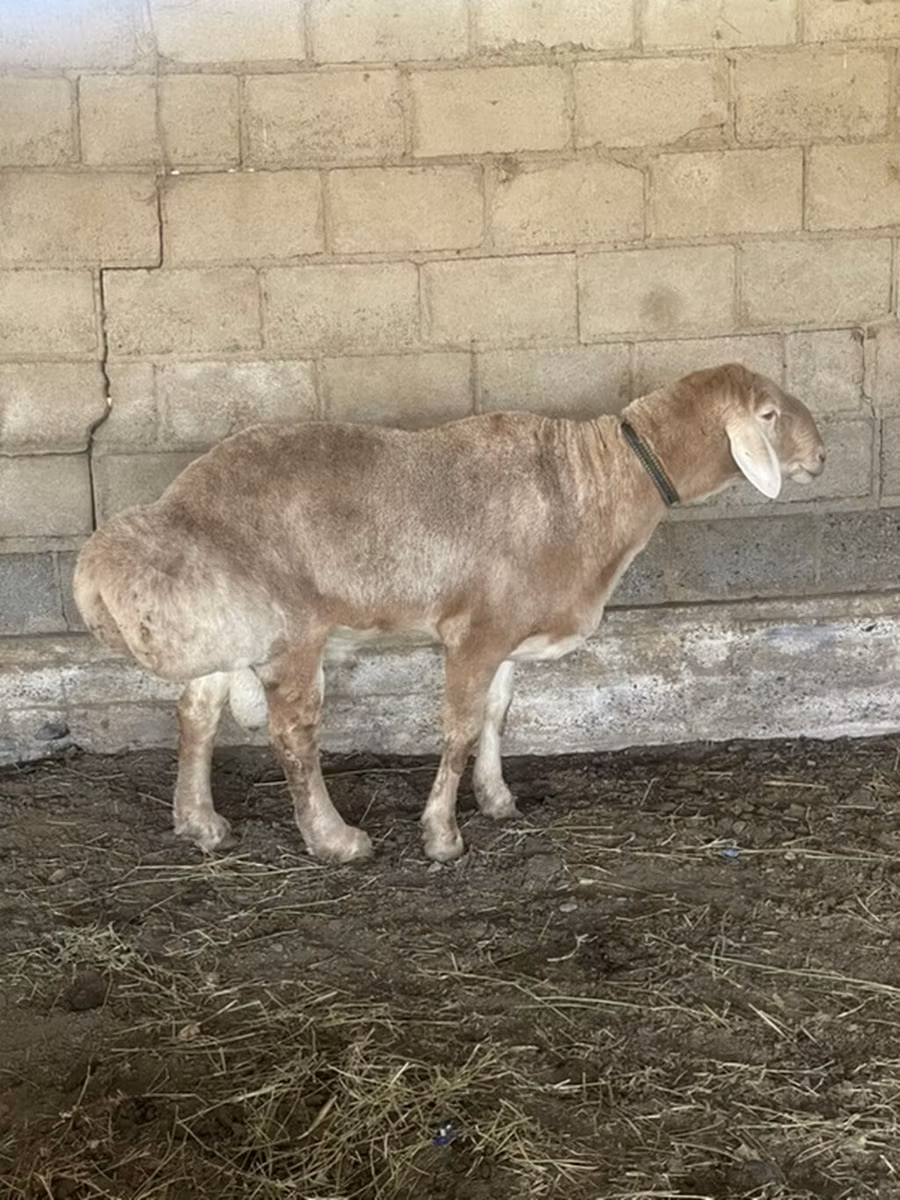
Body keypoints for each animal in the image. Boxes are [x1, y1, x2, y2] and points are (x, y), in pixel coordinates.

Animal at [73, 363, 826, 864]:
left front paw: (496, 800)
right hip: (291, 630)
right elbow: (459, 729)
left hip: (225, 621)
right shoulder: (476, 630)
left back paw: (200, 824)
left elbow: (497, 716)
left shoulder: (510, 632)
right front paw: (442, 835)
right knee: (292, 735)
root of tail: (174, 510)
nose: (822, 455)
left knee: (196, 713)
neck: (598, 482)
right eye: (769, 415)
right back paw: (335, 840)